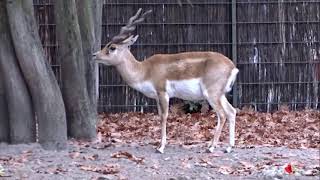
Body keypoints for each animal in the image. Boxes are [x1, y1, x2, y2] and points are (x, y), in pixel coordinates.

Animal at [92, 8, 238, 154]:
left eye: (112, 47)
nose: (94, 55)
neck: (145, 70)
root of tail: (232, 66)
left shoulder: (163, 93)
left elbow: (164, 117)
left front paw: (161, 147)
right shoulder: (157, 97)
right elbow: (159, 117)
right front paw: (158, 145)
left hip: (211, 94)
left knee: (222, 115)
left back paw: (211, 147)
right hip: (220, 95)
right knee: (232, 112)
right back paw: (229, 147)